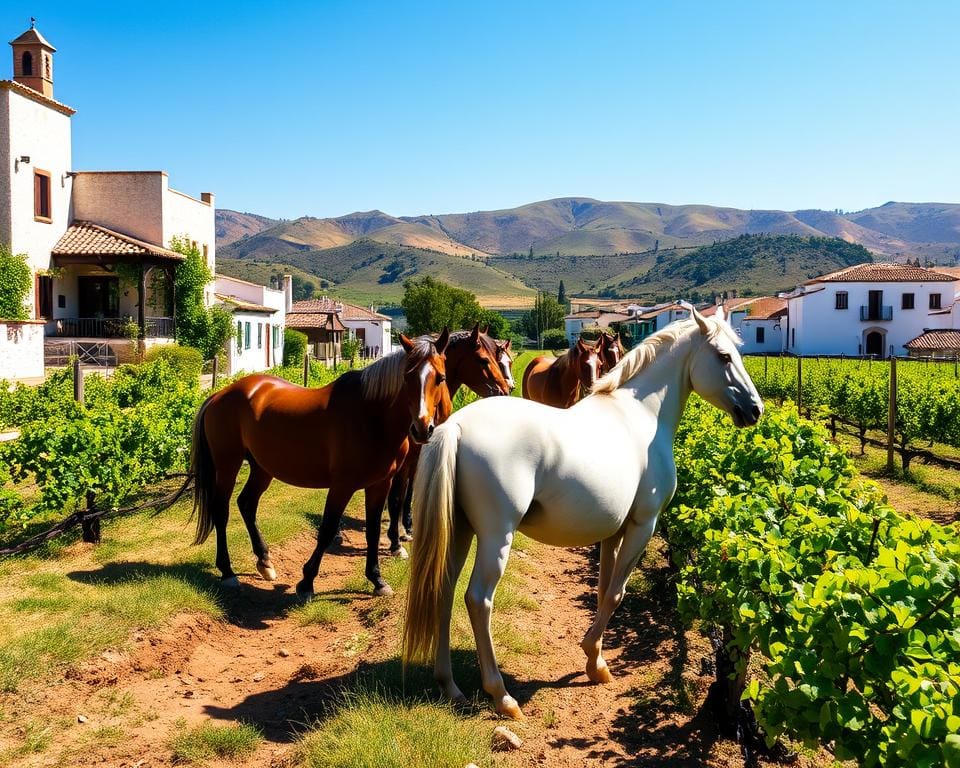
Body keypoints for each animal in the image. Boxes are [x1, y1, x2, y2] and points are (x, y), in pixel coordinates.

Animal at [194, 328, 454, 592]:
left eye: (441, 378)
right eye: (407, 378)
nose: (422, 429)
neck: (372, 416)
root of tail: (219, 395)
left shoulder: (380, 484)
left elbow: (372, 530)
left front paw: (377, 579)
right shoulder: (342, 485)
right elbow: (328, 529)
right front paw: (306, 581)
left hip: (261, 468)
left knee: (247, 504)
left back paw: (265, 561)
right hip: (227, 465)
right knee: (221, 510)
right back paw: (227, 571)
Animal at [386, 328, 512, 544]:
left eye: (507, 361)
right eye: (483, 360)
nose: (505, 390)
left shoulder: (418, 452)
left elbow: (409, 488)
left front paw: (407, 525)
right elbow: (399, 493)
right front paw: (396, 534)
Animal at [402, 306, 760, 720]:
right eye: (723, 356)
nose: (755, 410)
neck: (641, 415)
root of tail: (456, 427)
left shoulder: (612, 533)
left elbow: (605, 591)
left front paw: (596, 662)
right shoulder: (643, 526)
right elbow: (616, 594)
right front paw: (594, 658)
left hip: (460, 530)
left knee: (442, 591)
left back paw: (450, 686)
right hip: (495, 537)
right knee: (478, 600)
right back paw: (502, 696)